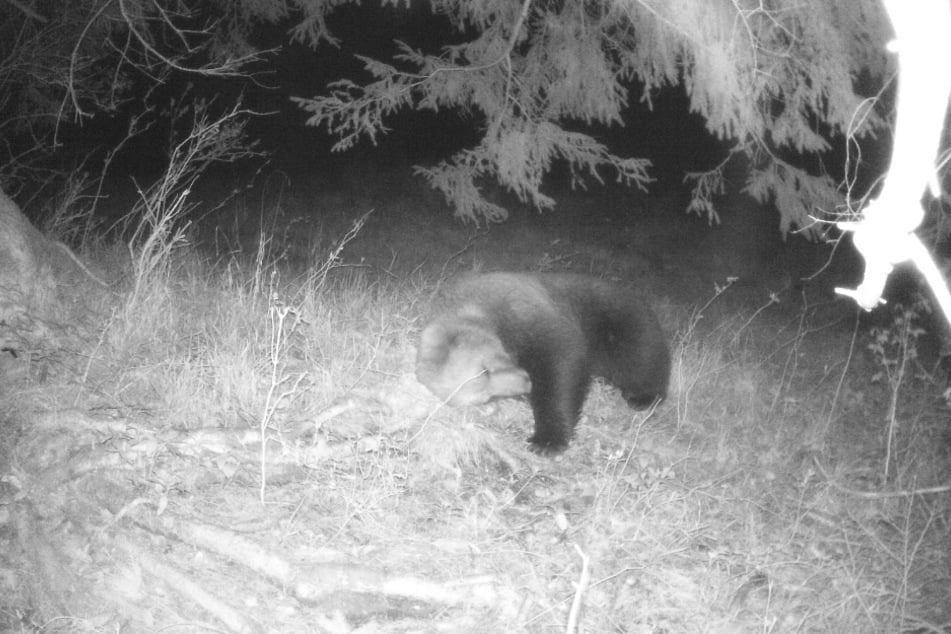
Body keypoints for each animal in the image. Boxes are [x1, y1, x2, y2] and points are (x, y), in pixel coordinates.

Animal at [416, 270, 668, 450]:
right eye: (488, 397)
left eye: (485, 369)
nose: (525, 384)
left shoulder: (529, 314)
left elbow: (561, 366)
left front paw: (547, 440)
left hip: (618, 321)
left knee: (639, 358)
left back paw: (643, 397)